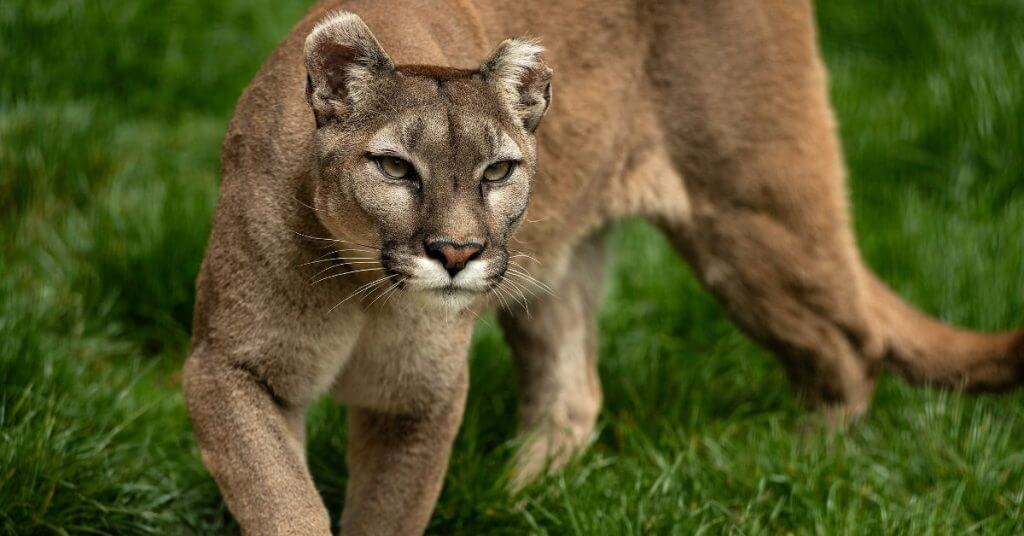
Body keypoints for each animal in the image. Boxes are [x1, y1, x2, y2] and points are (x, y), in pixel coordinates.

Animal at [183, 1, 1024, 533]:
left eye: (497, 170)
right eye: (394, 167)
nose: (457, 253)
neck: (366, 289)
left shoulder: (417, 397)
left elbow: (387, 512)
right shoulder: (229, 365)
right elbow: (282, 502)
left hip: (750, 214)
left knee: (850, 347)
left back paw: (806, 463)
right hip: (555, 267)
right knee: (575, 391)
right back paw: (517, 498)